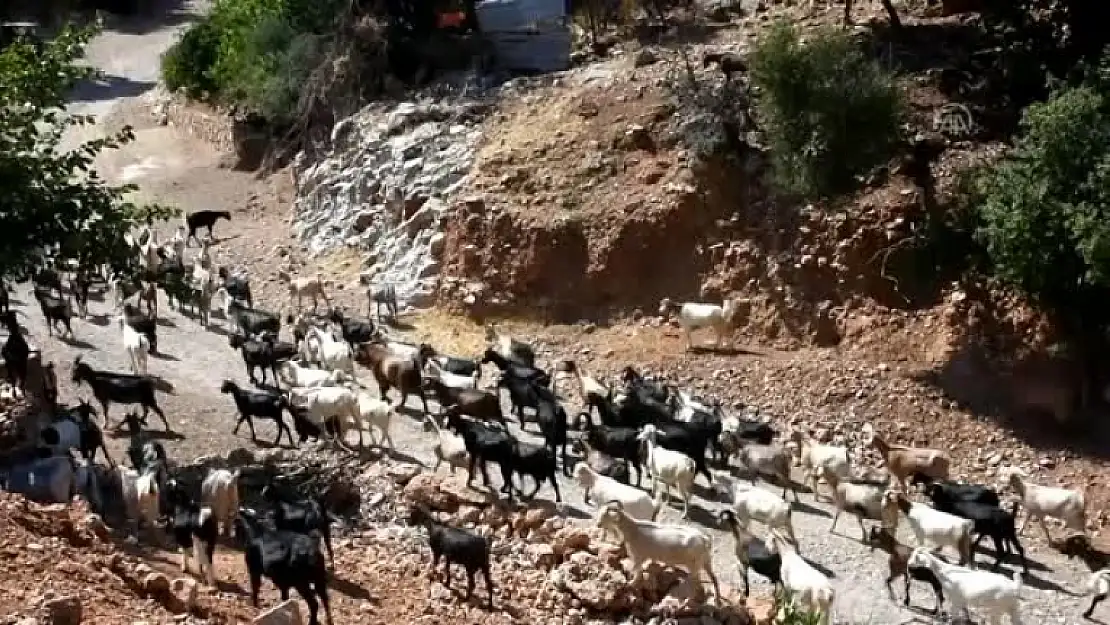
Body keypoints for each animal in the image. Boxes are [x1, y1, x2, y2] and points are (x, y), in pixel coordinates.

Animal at [594, 503, 723, 595]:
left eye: (605, 515)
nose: (598, 524)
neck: (633, 529)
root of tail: (704, 539)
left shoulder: (638, 556)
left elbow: (638, 572)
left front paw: (630, 584)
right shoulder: (649, 555)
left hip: (694, 566)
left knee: (698, 585)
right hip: (706, 561)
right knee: (714, 579)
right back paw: (717, 601)